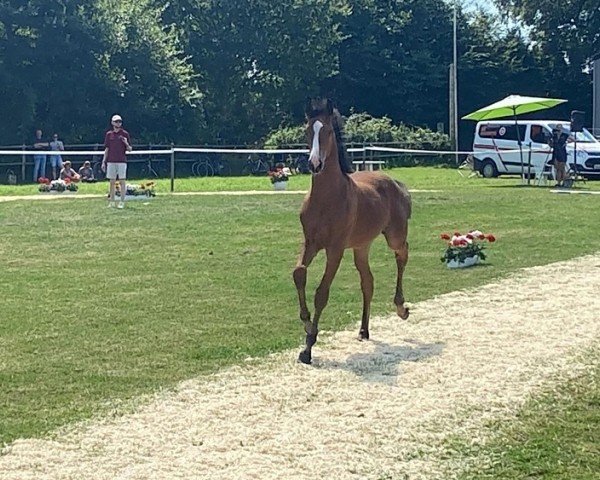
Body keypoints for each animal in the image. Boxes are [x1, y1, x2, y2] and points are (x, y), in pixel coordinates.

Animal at [292, 99, 412, 366]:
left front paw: (308, 347)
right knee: (368, 281)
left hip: (394, 236)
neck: (327, 199)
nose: (314, 164)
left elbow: (322, 293)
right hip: (361, 247)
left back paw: (401, 308)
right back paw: (364, 330)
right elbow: (299, 273)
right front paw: (306, 322)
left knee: (402, 254)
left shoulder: (335, 249)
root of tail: (396, 182)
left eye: (327, 131)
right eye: (307, 130)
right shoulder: (310, 243)